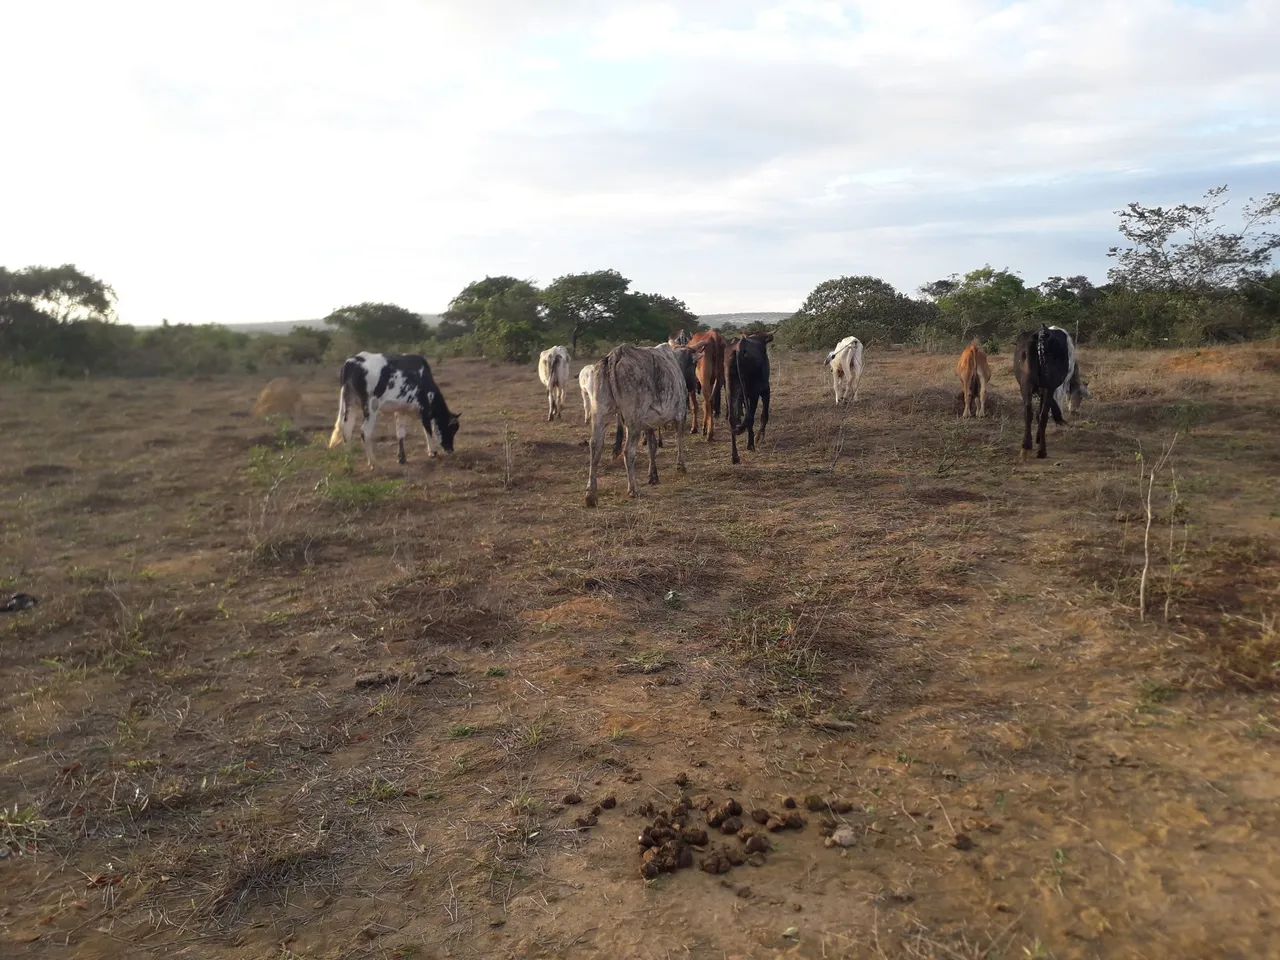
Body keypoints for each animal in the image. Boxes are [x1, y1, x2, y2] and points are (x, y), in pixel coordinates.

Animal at [328, 352, 460, 468]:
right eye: (451, 429)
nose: (451, 450)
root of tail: (352, 361)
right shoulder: (425, 410)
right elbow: (428, 431)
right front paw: (432, 452)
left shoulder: (401, 410)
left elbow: (400, 433)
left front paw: (401, 458)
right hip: (370, 407)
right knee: (364, 431)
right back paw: (373, 462)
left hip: (351, 402)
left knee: (347, 429)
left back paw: (349, 461)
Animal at [585, 343, 688, 507]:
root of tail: (615, 355)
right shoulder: (680, 413)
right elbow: (679, 440)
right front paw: (681, 466)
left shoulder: (648, 424)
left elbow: (652, 446)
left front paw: (653, 476)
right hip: (633, 420)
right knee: (628, 451)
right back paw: (633, 489)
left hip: (600, 413)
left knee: (595, 446)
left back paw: (591, 495)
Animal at [726, 333, 772, 465]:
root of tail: (740, 346)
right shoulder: (765, 390)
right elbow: (764, 415)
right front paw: (759, 438)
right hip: (754, 393)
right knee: (750, 417)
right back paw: (751, 444)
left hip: (731, 390)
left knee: (732, 419)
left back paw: (735, 456)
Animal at [1012, 326, 1071, 459]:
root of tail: (1041, 334)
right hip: (1046, 386)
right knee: (1041, 414)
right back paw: (1040, 450)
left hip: (1026, 385)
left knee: (1029, 412)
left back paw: (1027, 445)